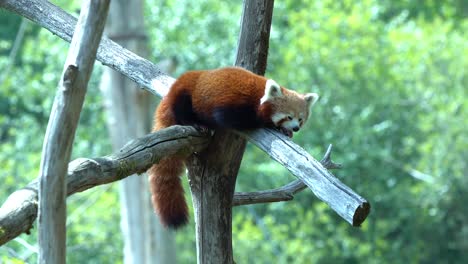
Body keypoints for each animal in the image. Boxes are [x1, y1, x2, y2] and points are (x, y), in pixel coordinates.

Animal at [148, 66, 320, 229]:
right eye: (289, 117)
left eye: (300, 119)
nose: (296, 128)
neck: (259, 95)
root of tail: (170, 93)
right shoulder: (233, 101)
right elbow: (230, 118)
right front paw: (269, 124)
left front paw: (285, 131)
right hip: (185, 95)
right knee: (183, 110)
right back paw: (195, 123)